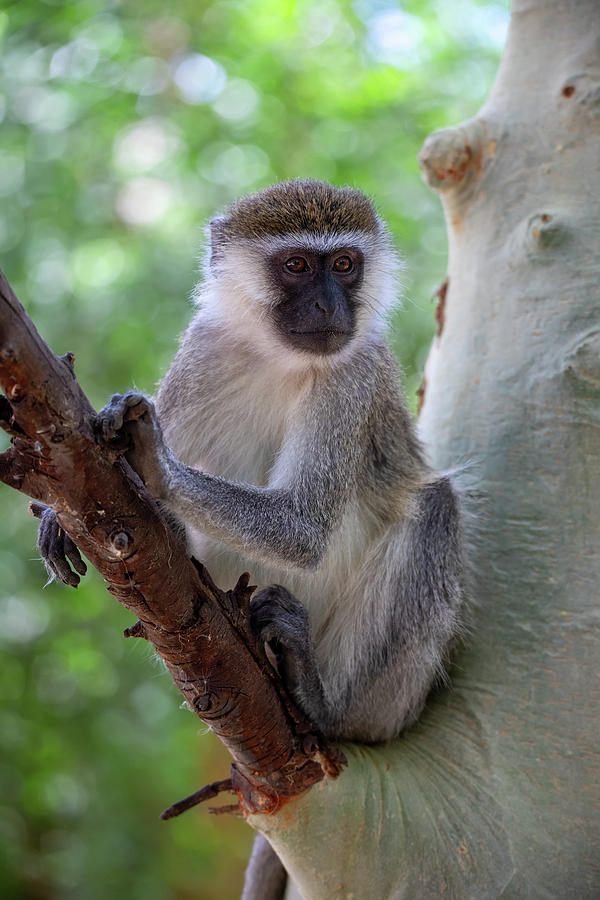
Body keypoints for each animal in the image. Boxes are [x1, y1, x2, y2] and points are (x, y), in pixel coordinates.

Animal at [38, 181, 468, 900]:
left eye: (344, 265)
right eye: (295, 266)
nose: (328, 305)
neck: (278, 357)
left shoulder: (352, 378)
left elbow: (302, 528)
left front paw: (156, 464)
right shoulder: (201, 353)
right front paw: (66, 505)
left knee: (436, 508)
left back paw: (320, 703)